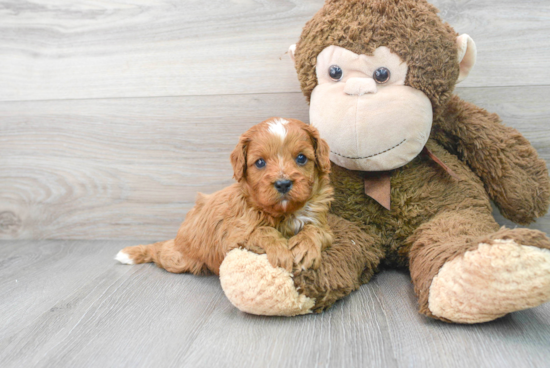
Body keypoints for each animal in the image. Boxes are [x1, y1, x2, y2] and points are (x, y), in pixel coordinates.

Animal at [114, 118, 334, 276]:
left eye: (301, 158)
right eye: (260, 162)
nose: (283, 183)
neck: (284, 213)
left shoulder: (323, 224)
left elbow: (315, 230)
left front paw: (305, 248)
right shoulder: (234, 235)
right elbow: (262, 230)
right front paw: (280, 252)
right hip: (178, 259)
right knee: (159, 250)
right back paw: (131, 253)